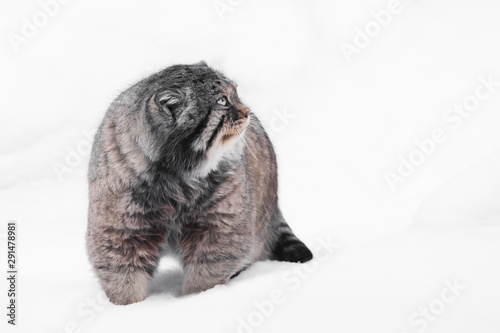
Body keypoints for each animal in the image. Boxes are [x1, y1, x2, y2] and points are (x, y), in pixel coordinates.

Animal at [86, 61, 312, 304]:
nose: (247, 112)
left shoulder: (219, 225)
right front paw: (128, 307)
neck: (175, 176)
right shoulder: (122, 228)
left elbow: (207, 272)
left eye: (236, 93)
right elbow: (122, 274)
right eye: (223, 101)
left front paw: (197, 299)